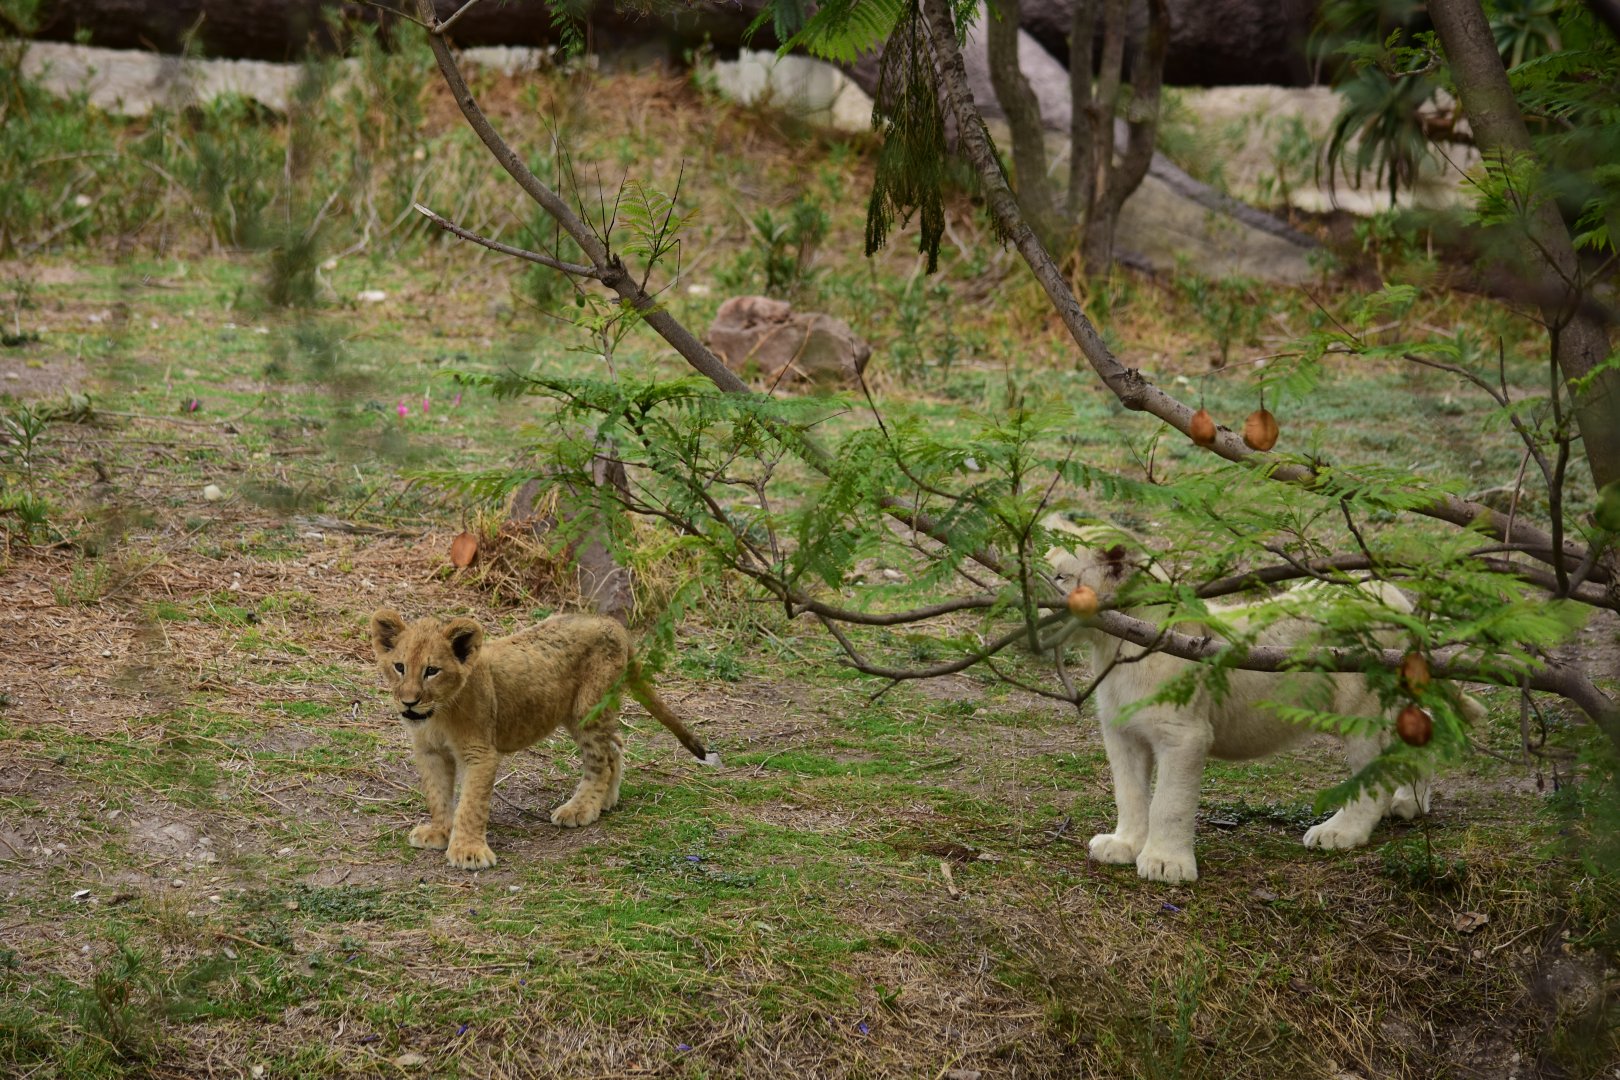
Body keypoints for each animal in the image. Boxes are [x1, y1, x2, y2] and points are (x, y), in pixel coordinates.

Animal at [369, 609, 719, 870]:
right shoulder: (429, 751)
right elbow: (438, 795)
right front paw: (440, 832)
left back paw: (580, 809)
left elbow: (471, 803)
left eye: (432, 671)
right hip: (583, 711)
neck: (438, 713)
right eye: (399, 667)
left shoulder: (480, 752)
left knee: (601, 761)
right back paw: (606, 801)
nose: (409, 702)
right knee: (615, 745)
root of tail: (610, 623)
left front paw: (469, 852)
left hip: (587, 708)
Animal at [1046, 524, 1482, 884]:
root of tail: (1395, 599)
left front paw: (1166, 864)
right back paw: (1409, 803)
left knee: (1372, 778)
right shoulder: (1122, 732)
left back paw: (1339, 832)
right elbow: (1131, 793)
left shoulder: (1184, 734)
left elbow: (1169, 802)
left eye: (1059, 576)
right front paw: (1124, 845)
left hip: (1363, 708)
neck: (1113, 642)